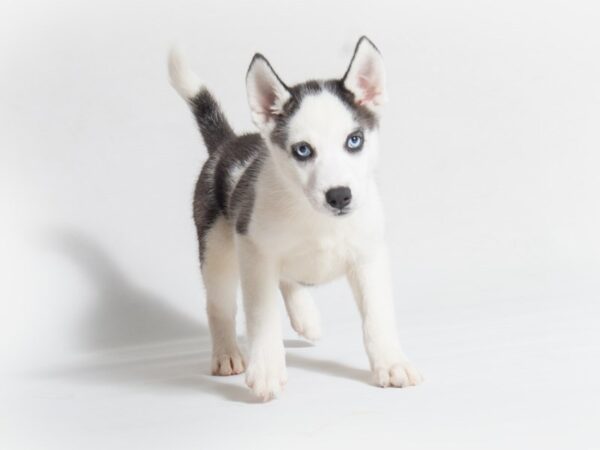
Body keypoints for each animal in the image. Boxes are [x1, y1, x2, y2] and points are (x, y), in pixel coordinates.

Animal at [168, 36, 422, 400]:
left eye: (354, 140)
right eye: (303, 150)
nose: (339, 195)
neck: (318, 220)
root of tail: (228, 144)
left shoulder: (368, 257)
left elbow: (377, 316)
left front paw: (391, 363)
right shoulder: (254, 251)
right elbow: (262, 316)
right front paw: (267, 369)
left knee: (288, 278)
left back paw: (306, 316)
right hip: (216, 250)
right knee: (219, 305)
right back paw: (226, 353)